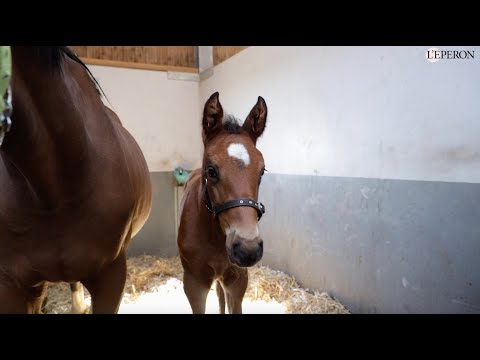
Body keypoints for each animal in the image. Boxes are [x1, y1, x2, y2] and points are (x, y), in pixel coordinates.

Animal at [177, 92, 268, 312]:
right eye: (211, 171)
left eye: (262, 171)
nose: (248, 249)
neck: (215, 237)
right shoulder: (194, 284)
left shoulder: (237, 281)